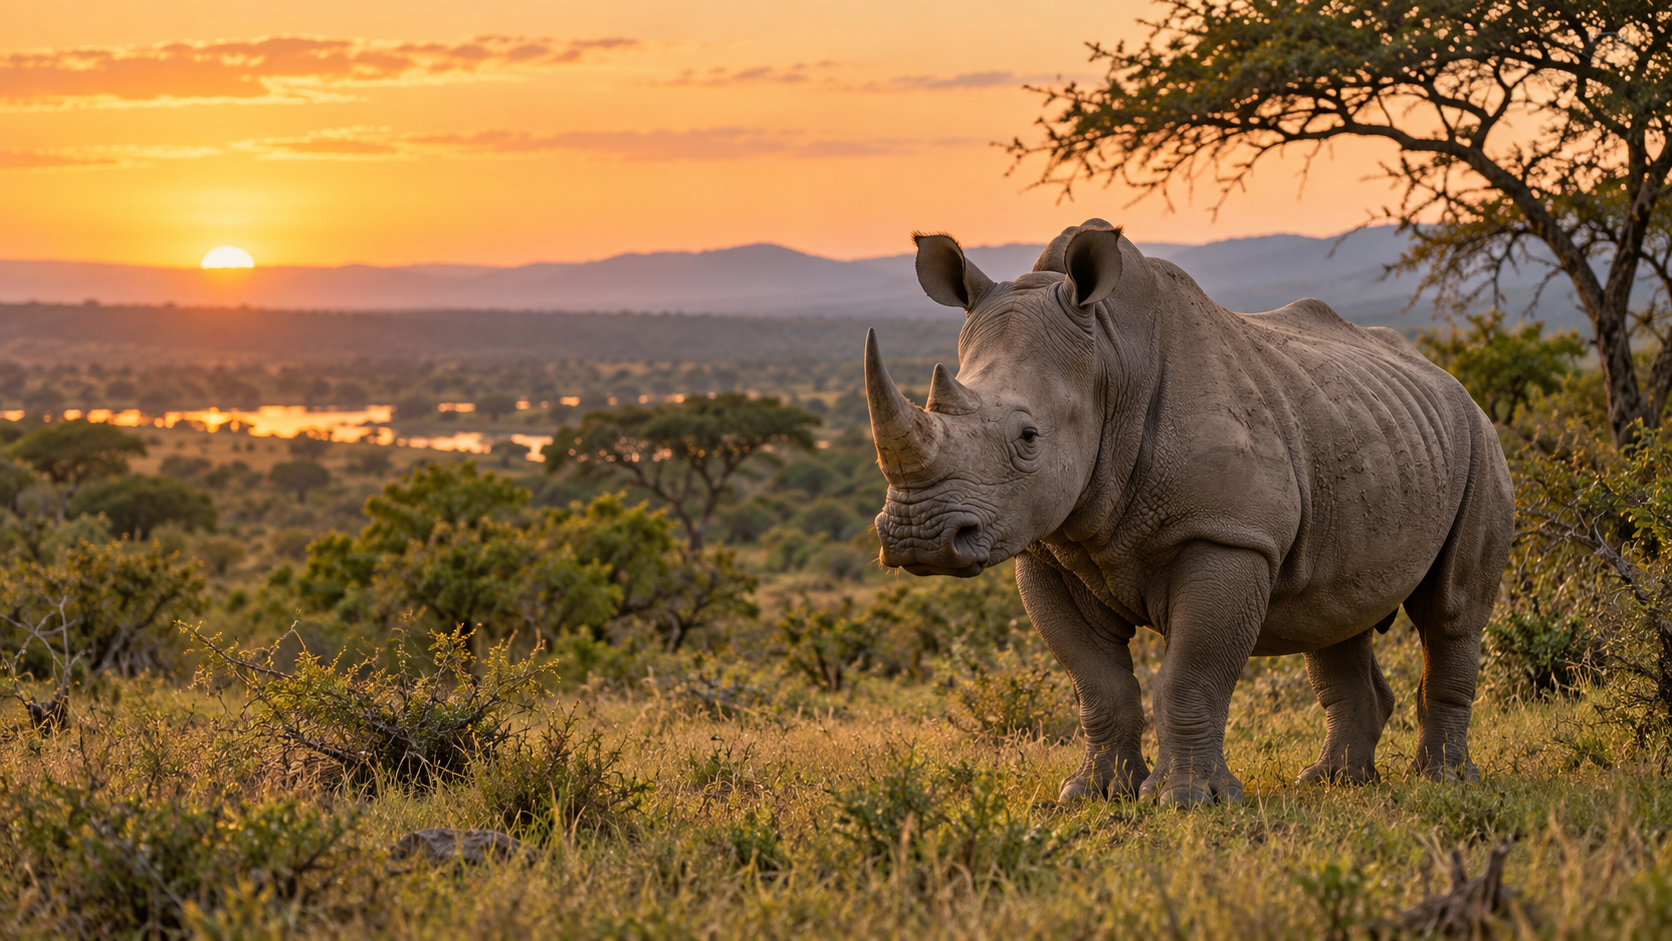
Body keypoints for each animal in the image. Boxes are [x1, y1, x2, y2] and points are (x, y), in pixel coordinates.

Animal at [867, 220, 1513, 807]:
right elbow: (1096, 682)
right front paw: (1092, 793)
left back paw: (1444, 782)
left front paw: (1185, 801)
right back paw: (1332, 783)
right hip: (1365, 426)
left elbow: (1189, 676)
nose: (918, 538)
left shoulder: (1228, 535)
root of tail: (1444, 374)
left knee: (1451, 611)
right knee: (1333, 611)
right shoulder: (1045, 547)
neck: (1110, 362)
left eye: (1028, 437)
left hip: (1479, 440)